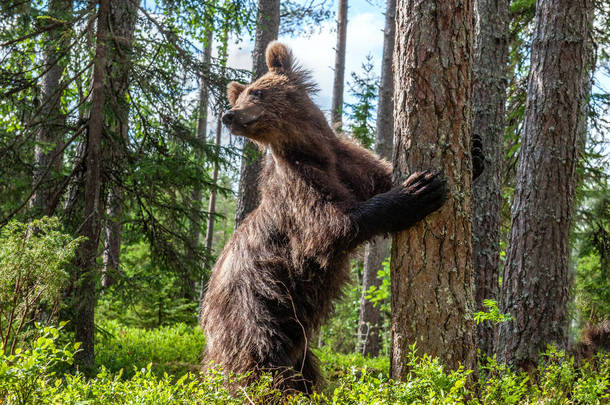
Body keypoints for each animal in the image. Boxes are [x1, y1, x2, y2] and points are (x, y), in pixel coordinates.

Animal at [200, 42, 446, 392]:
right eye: (241, 96)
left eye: (256, 92)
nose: (228, 115)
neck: (313, 150)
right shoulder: (298, 188)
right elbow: (332, 225)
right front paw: (418, 191)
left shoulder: (350, 163)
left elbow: (381, 175)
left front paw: (476, 152)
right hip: (255, 309)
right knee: (259, 362)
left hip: (291, 330)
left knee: (304, 369)